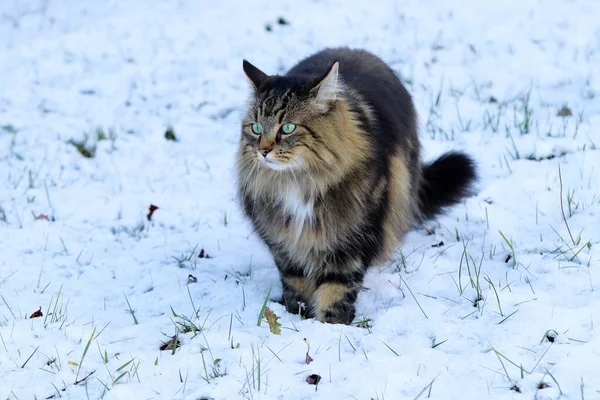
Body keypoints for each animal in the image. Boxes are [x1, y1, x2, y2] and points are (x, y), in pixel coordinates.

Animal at [237, 47, 476, 324]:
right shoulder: (284, 242)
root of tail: (357, 51)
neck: (299, 182)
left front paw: (331, 324)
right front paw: (297, 316)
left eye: (287, 128)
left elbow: (337, 288)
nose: (262, 151)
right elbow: (296, 282)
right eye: (255, 128)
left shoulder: (353, 238)